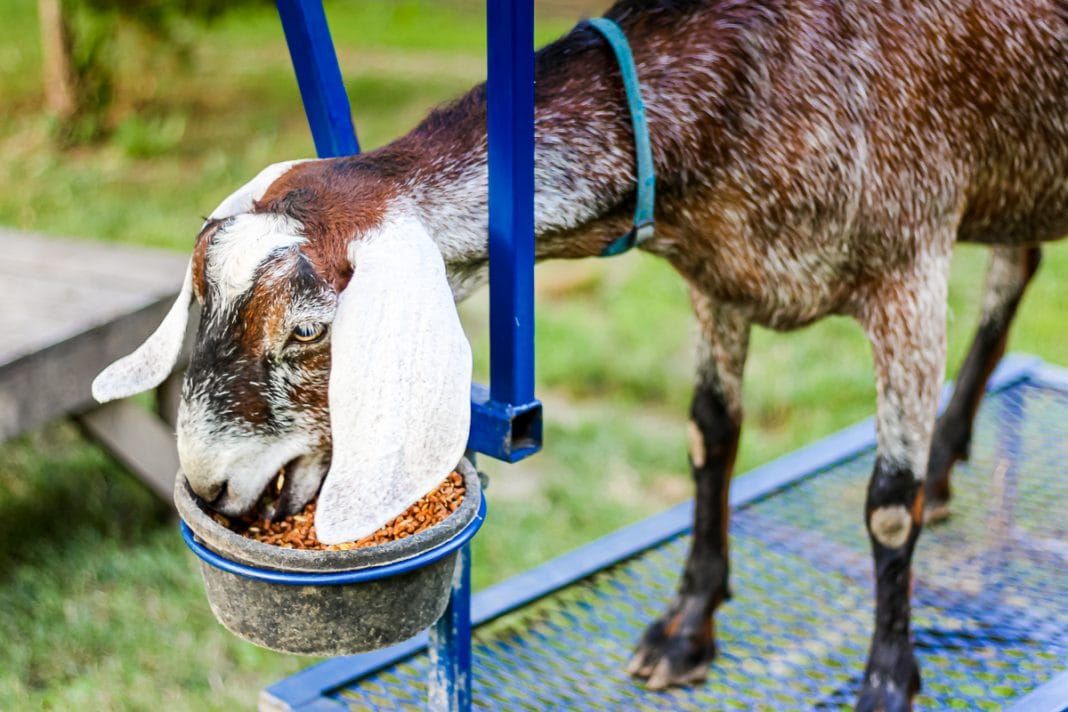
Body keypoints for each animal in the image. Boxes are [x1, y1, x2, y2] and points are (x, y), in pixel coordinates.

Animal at [93, 1, 1068, 709]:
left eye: (306, 328)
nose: (214, 482)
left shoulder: (911, 267)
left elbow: (886, 507)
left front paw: (887, 677)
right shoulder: (722, 283)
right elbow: (710, 437)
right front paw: (685, 627)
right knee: (1016, 271)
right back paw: (949, 459)